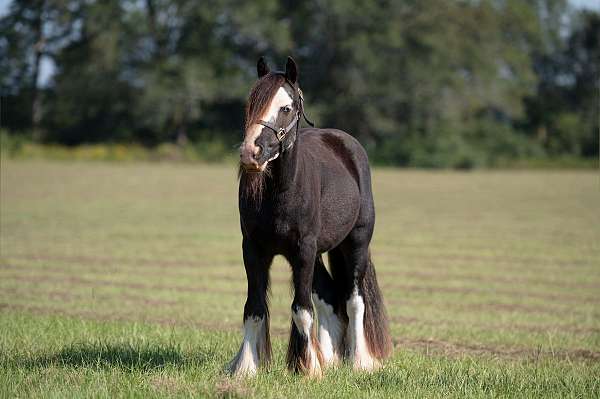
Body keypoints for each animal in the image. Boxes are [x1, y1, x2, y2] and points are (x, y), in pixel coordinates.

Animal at [227, 56, 392, 378]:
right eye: (250, 104)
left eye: (286, 108)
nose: (250, 153)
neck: (281, 193)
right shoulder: (253, 249)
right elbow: (254, 309)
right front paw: (246, 368)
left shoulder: (303, 250)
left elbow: (301, 310)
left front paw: (308, 369)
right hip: (316, 255)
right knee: (328, 297)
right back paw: (329, 357)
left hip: (355, 244)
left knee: (354, 301)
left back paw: (358, 361)